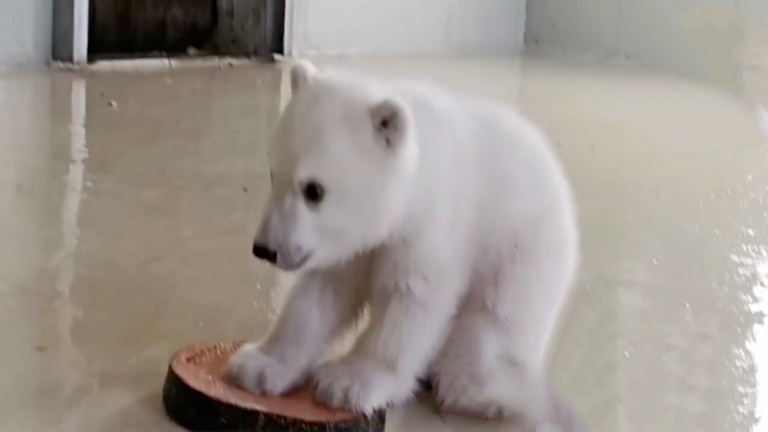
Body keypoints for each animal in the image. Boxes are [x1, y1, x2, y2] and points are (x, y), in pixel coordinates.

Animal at [224, 61, 588, 431]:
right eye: (274, 174)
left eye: (314, 190)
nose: (265, 249)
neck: (411, 185)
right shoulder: (348, 246)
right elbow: (319, 295)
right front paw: (257, 365)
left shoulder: (433, 227)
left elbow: (410, 300)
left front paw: (346, 382)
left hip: (527, 253)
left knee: (491, 326)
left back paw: (479, 393)